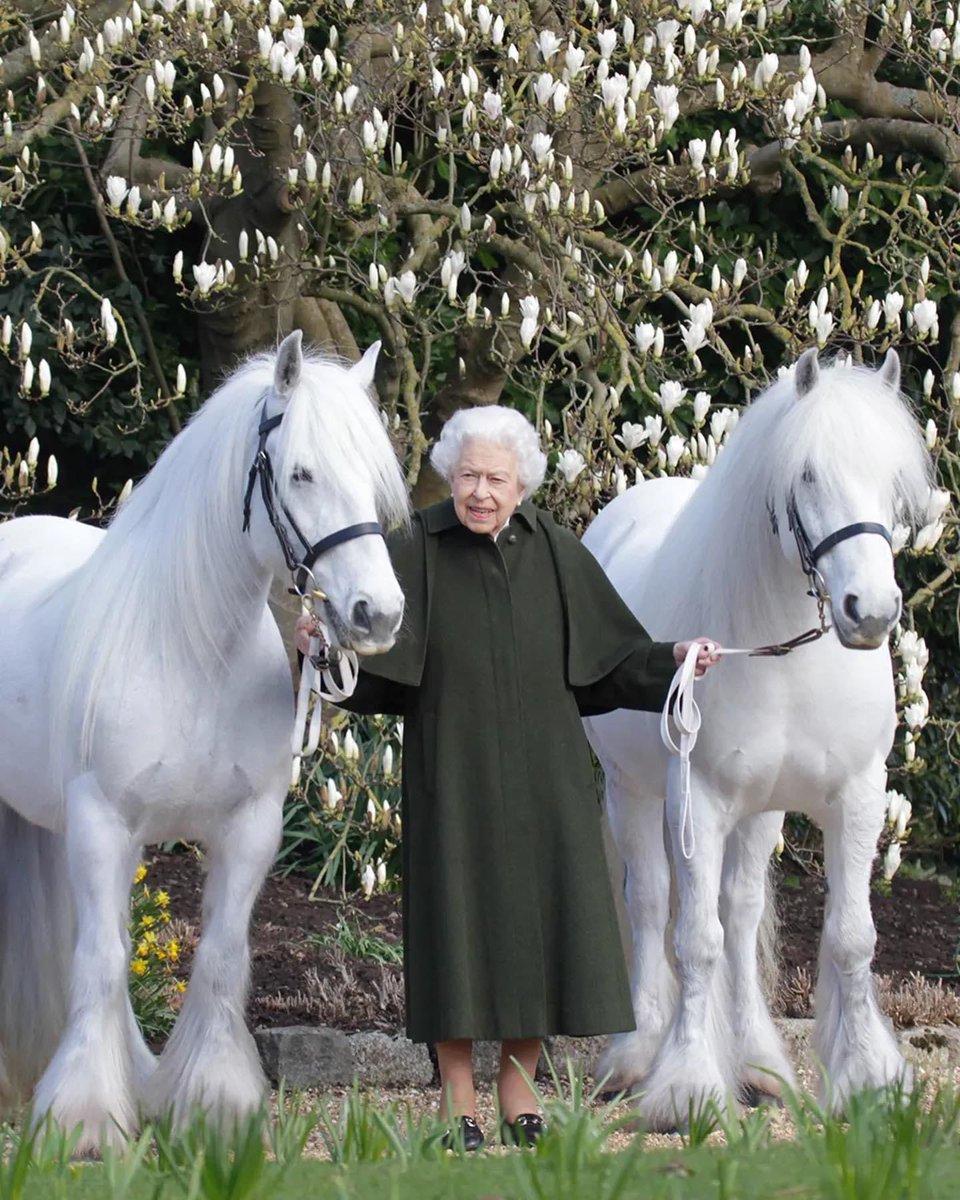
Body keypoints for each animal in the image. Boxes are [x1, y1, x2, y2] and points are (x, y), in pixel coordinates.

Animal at [0, 331, 408, 1149]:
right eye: (301, 472)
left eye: (373, 476)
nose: (377, 613)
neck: (188, 653)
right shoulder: (104, 823)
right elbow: (104, 960)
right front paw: (85, 1118)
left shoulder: (249, 827)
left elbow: (217, 960)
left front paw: (214, 1106)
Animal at [582, 348, 933, 1130]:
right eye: (807, 476)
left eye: (892, 480)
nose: (871, 611)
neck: (787, 656)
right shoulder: (699, 800)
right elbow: (694, 940)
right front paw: (686, 1087)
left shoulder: (856, 797)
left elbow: (850, 937)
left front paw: (866, 1079)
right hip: (633, 792)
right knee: (651, 903)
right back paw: (636, 1055)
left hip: (761, 810)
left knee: (740, 915)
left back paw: (758, 1064)